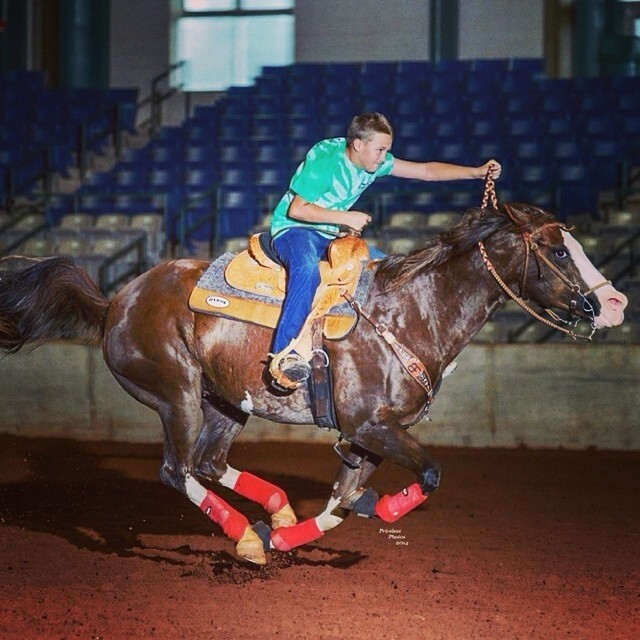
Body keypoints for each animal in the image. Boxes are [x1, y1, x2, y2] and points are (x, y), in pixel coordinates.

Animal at [0, 202, 628, 565]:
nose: (611, 303)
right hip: (176, 396)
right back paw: (247, 536)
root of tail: (115, 302)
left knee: (206, 464)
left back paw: (271, 519)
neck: (409, 311)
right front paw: (380, 507)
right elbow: (428, 474)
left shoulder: (366, 437)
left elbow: (343, 502)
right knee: (176, 471)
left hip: (227, 402)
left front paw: (293, 535)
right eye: (556, 249)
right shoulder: (372, 426)